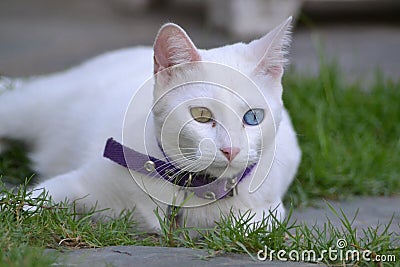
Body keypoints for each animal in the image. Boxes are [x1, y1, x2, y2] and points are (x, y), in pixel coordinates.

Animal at [0, 17, 300, 233]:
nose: (231, 150)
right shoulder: (79, 182)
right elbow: (30, 199)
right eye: (201, 115)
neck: (189, 188)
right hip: (28, 108)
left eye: (253, 118)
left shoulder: (266, 214)